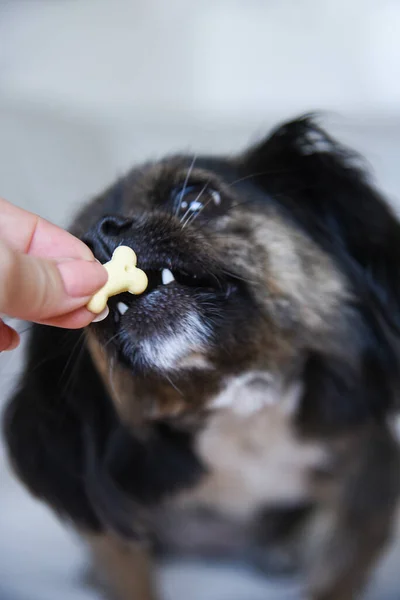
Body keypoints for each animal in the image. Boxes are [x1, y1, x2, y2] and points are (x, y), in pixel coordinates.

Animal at [3, 117, 400, 600]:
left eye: (196, 198)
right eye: (74, 248)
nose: (101, 235)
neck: (239, 411)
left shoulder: (368, 487)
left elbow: (335, 579)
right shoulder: (114, 524)